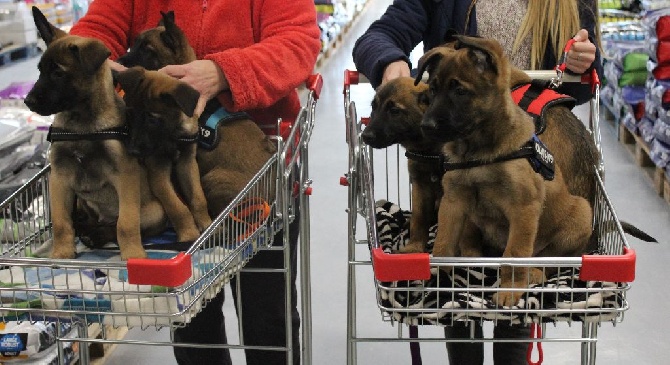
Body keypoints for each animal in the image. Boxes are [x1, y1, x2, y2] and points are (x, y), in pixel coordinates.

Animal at [24, 7, 167, 258]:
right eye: (40, 71)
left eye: (58, 73)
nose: (27, 101)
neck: (82, 126)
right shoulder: (59, 178)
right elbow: (61, 222)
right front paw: (62, 253)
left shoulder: (125, 175)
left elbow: (126, 224)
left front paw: (133, 255)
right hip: (82, 201)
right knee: (86, 221)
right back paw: (86, 230)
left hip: (154, 212)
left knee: (116, 226)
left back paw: (97, 235)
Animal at [114, 67, 211, 243]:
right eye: (130, 115)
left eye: (152, 120)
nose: (133, 152)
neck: (173, 135)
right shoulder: (158, 172)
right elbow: (177, 208)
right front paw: (188, 234)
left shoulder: (187, 163)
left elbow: (199, 198)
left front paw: (208, 224)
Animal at [362, 77, 440, 253]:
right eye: (374, 106)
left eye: (394, 111)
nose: (365, 136)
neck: (429, 151)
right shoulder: (420, 186)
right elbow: (419, 219)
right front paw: (414, 247)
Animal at [420, 35, 600, 306]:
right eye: (433, 89)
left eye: (460, 91)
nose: (426, 126)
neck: (478, 152)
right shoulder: (454, 201)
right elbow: (443, 244)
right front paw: (439, 277)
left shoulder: (523, 208)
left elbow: (514, 254)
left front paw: (510, 290)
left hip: (581, 212)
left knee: (553, 258)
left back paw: (535, 271)